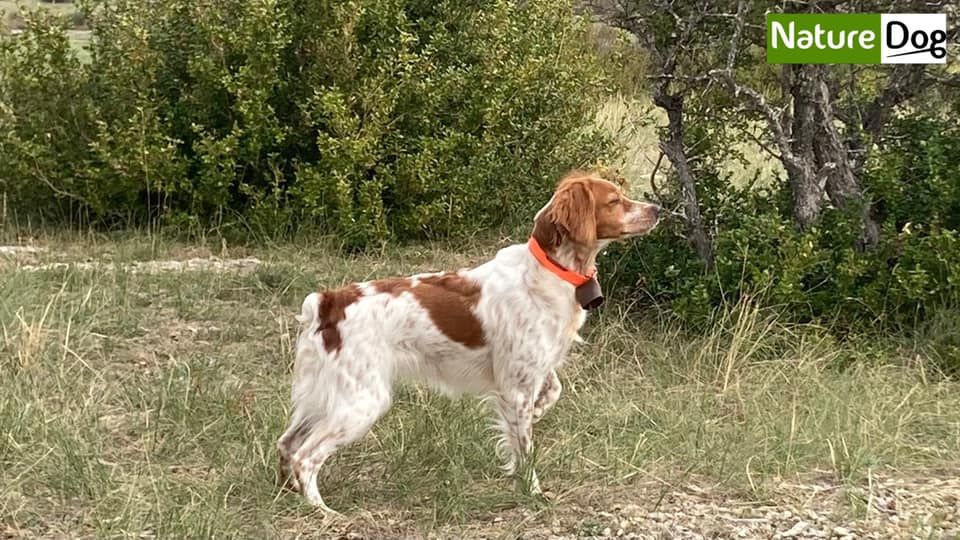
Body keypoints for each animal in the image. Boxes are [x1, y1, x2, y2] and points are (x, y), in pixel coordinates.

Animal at [278, 169, 660, 510]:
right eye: (614, 200)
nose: (657, 209)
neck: (550, 271)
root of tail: (329, 302)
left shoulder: (531, 370)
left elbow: (552, 392)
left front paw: (537, 415)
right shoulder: (516, 386)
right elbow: (525, 446)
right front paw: (533, 491)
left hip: (325, 395)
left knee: (286, 444)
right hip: (362, 400)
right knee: (305, 457)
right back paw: (323, 512)